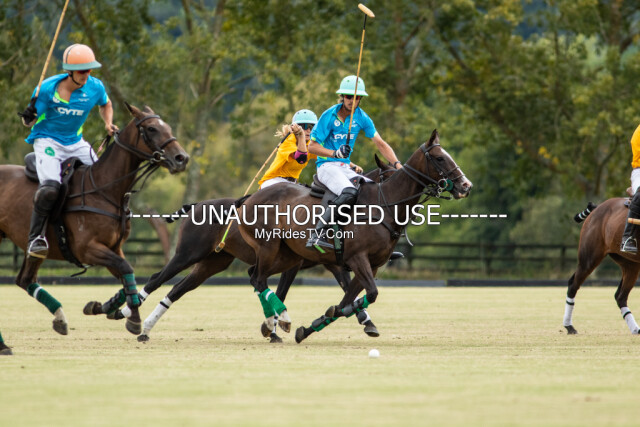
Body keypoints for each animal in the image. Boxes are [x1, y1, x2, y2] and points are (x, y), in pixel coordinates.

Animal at [0, 103, 189, 336]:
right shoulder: (87, 248)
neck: (106, 189)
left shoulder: (114, 247)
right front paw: (132, 318)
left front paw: (103, 306)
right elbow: (127, 268)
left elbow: (128, 276)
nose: (182, 158)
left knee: (25, 279)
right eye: (152, 128)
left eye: (168, 127)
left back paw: (60, 318)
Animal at [84, 156, 397, 343]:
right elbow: (280, 289)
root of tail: (196, 205)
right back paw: (125, 314)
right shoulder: (301, 262)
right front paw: (275, 325)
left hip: (213, 262)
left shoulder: (333, 261)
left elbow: (346, 287)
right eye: (387, 176)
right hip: (189, 253)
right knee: (157, 278)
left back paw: (135, 322)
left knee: (179, 288)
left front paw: (366, 322)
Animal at [237, 130, 472, 342]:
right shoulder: (356, 258)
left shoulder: (370, 264)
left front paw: (310, 328)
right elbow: (370, 294)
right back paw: (277, 321)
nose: (466, 186)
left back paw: (274, 322)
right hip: (269, 247)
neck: (384, 205)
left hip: (288, 256)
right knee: (259, 279)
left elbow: (346, 302)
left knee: (256, 276)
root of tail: (248, 199)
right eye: (440, 158)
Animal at [564, 198, 640, 335]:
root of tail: (598, 207)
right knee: (573, 285)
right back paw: (569, 326)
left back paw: (635, 328)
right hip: (589, 258)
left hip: (631, 264)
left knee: (620, 296)